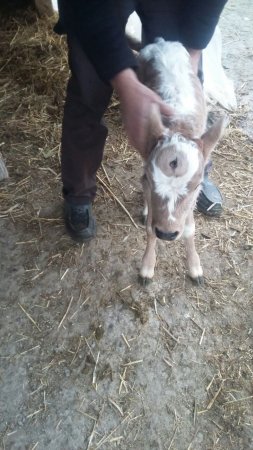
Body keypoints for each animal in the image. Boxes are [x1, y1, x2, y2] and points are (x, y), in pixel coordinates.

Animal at [137, 39, 226, 284]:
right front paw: (147, 267)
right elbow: (150, 228)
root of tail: (162, 41)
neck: (179, 125)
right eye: (152, 180)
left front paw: (195, 268)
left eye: (197, 186)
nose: (167, 233)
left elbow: (189, 229)